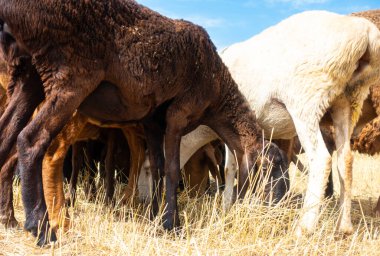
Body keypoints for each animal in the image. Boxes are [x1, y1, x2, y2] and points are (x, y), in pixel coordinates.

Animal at [0, 0, 284, 246]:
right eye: (271, 168)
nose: (278, 210)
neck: (217, 90)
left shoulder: (152, 122)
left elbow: (157, 166)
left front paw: (155, 217)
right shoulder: (179, 114)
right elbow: (172, 169)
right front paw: (172, 224)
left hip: (28, 76)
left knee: (6, 137)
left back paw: (9, 219)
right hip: (70, 75)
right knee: (30, 141)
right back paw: (42, 229)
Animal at [220, 11, 380, 235]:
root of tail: (366, 34)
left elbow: (230, 167)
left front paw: (227, 206)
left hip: (307, 100)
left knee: (321, 159)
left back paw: (304, 228)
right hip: (348, 102)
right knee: (345, 160)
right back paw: (344, 226)